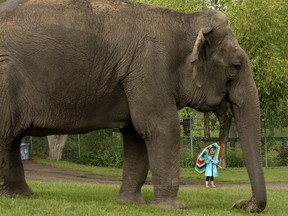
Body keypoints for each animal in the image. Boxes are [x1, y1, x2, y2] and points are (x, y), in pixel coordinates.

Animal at [0, 0, 266, 213]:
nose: (241, 204)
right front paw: (174, 208)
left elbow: (136, 134)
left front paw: (130, 203)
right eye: (235, 66)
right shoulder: (150, 66)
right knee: (7, 134)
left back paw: (20, 195)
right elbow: (161, 128)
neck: (183, 21)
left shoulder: (138, 75)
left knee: (12, 136)